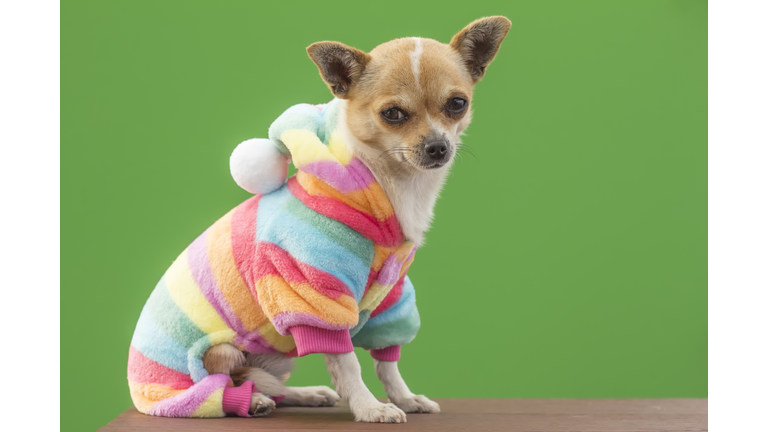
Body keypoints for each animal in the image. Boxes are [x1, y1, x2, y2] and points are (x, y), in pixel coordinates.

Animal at [127, 16, 510, 422]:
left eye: (457, 104)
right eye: (392, 113)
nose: (438, 147)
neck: (396, 185)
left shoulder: (391, 302)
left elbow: (387, 362)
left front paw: (404, 398)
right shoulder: (315, 297)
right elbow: (348, 363)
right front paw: (370, 407)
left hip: (276, 356)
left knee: (271, 384)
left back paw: (304, 394)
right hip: (217, 356)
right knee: (224, 384)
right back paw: (252, 402)